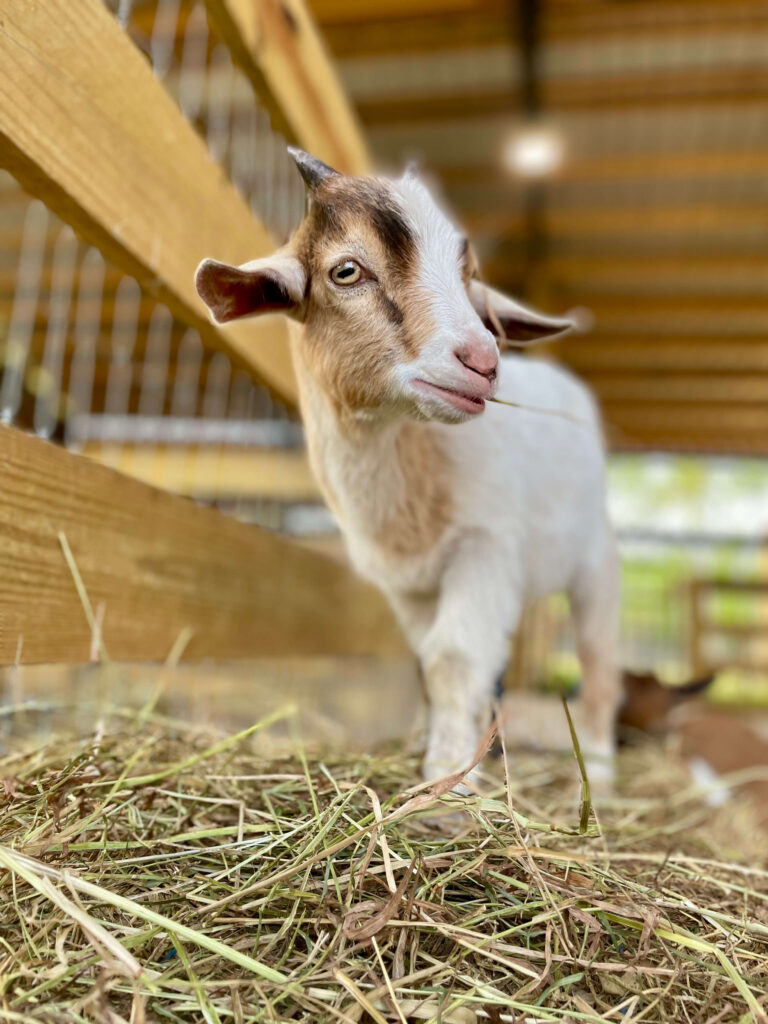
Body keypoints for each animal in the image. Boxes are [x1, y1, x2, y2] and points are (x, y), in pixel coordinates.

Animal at [195, 149, 621, 786]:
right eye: (346, 271)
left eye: (467, 272)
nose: (482, 361)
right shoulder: (410, 584)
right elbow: (430, 660)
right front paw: (440, 746)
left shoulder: (483, 547)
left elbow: (453, 656)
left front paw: (448, 774)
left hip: (597, 560)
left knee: (598, 657)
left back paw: (598, 767)